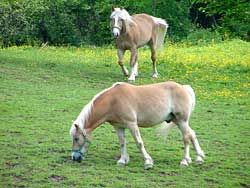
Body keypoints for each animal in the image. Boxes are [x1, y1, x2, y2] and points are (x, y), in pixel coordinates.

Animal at [70, 81, 205, 170]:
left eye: (76, 138)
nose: (74, 157)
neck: (113, 101)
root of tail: (184, 87)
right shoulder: (119, 126)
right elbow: (122, 143)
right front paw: (122, 161)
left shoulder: (132, 124)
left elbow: (139, 143)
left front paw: (148, 162)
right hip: (177, 121)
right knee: (192, 134)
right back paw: (199, 158)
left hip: (182, 121)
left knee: (186, 138)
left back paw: (185, 161)